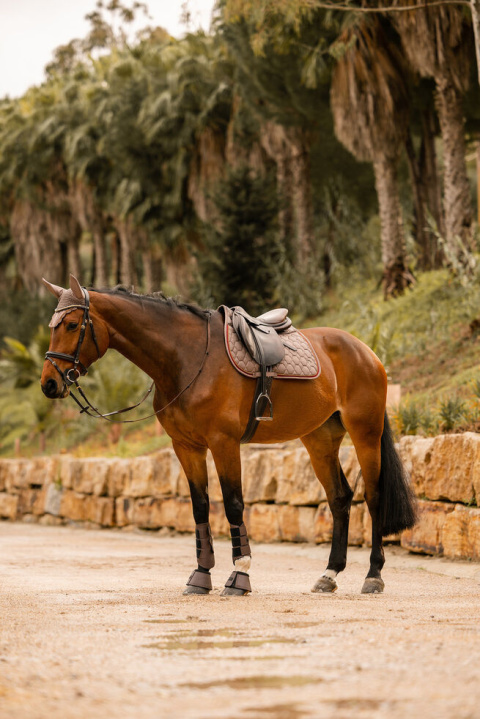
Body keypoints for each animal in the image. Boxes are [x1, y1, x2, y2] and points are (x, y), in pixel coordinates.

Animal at [41, 274, 416, 596]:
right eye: (52, 327)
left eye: (72, 325)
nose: (49, 383)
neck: (188, 358)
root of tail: (366, 352)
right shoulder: (187, 447)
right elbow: (200, 508)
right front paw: (200, 575)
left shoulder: (224, 443)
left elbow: (234, 505)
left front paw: (240, 575)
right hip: (320, 440)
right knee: (340, 498)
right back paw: (329, 574)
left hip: (365, 433)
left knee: (373, 497)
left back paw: (373, 575)